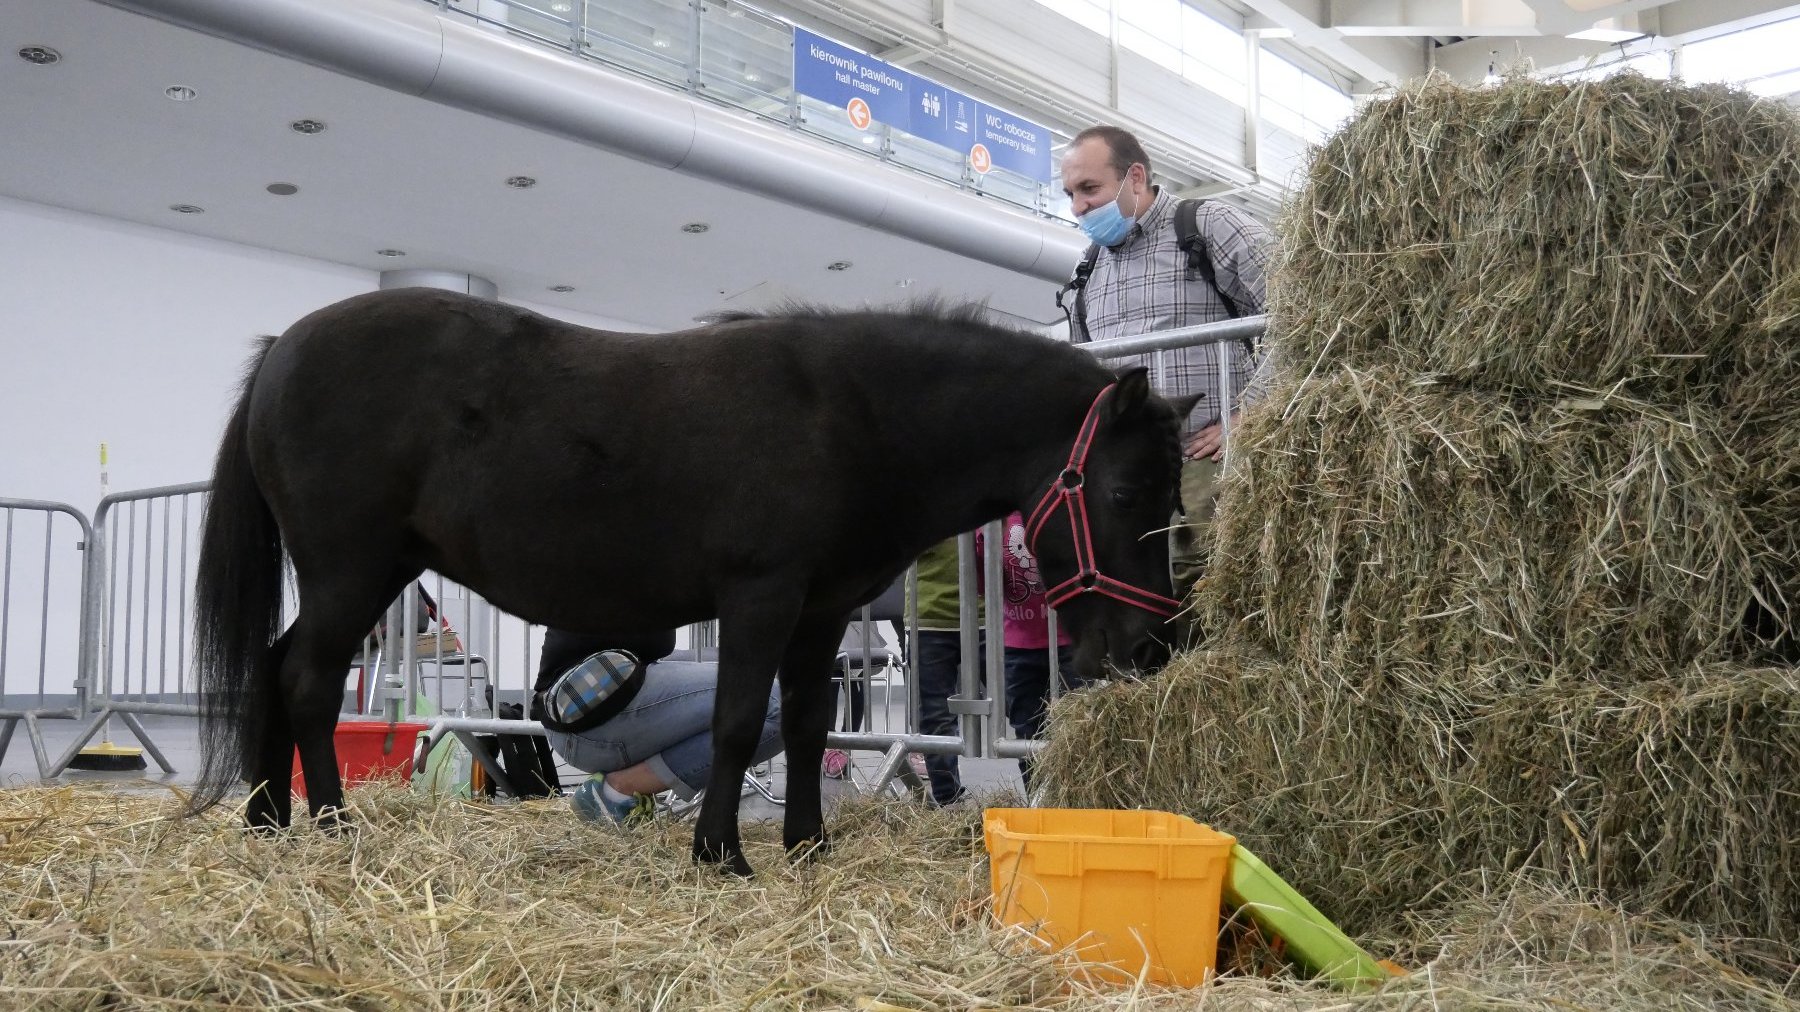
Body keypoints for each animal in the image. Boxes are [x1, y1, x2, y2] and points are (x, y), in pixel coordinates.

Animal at [193, 288, 1195, 871]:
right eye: (1123, 489)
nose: (1149, 644)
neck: (847, 416)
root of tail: (285, 345)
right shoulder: (761, 597)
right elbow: (738, 721)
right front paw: (722, 854)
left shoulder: (820, 612)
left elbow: (806, 724)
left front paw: (806, 844)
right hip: (350, 570)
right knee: (306, 680)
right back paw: (329, 823)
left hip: (363, 573)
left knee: (276, 672)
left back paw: (268, 820)